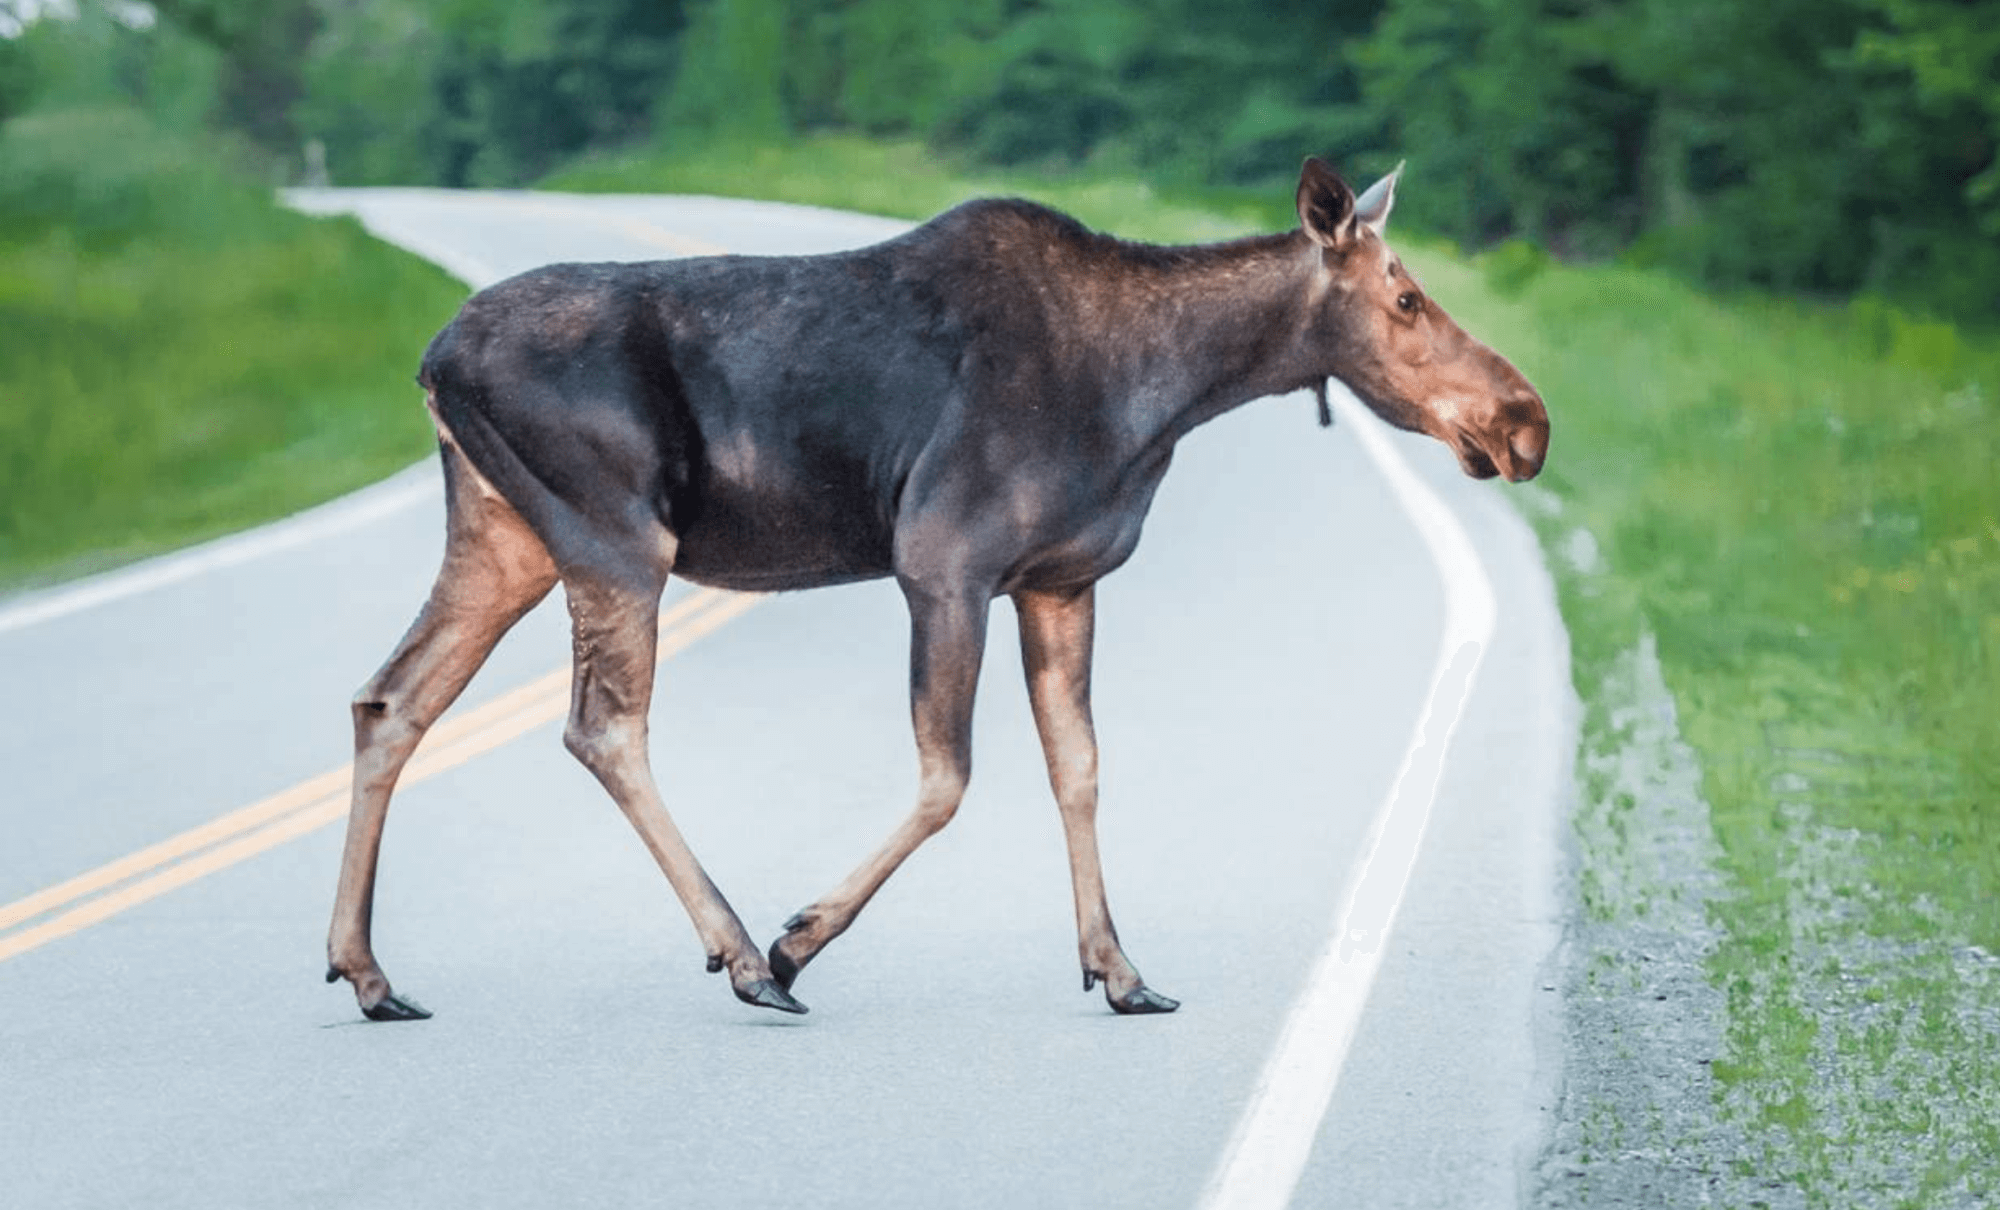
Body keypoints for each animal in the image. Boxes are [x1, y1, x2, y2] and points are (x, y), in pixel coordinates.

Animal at [324, 153, 1544, 1020]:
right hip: (619, 536)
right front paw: (797, 938)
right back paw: (740, 954)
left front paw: (1119, 968)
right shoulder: (942, 561)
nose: (1524, 420)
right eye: (1404, 297)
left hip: (506, 539)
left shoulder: (1059, 580)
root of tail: (431, 360)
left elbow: (1079, 768)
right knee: (602, 726)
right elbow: (947, 774)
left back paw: (368, 971)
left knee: (391, 698)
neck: (1165, 395)